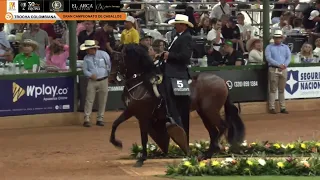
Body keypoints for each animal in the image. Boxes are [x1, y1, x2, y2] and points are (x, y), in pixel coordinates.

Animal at [108, 44, 245, 168]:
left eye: (118, 60)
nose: (111, 79)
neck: (142, 83)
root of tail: (222, 81)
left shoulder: (143, 115)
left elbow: (144, 137)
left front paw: (141, 159)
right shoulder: (131, 110)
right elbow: (115, 123)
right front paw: (116, 143)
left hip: (210, 111)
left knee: (222, 126)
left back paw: (211, 151)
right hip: (203, 113)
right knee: (213, 132)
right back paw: (205, 155)